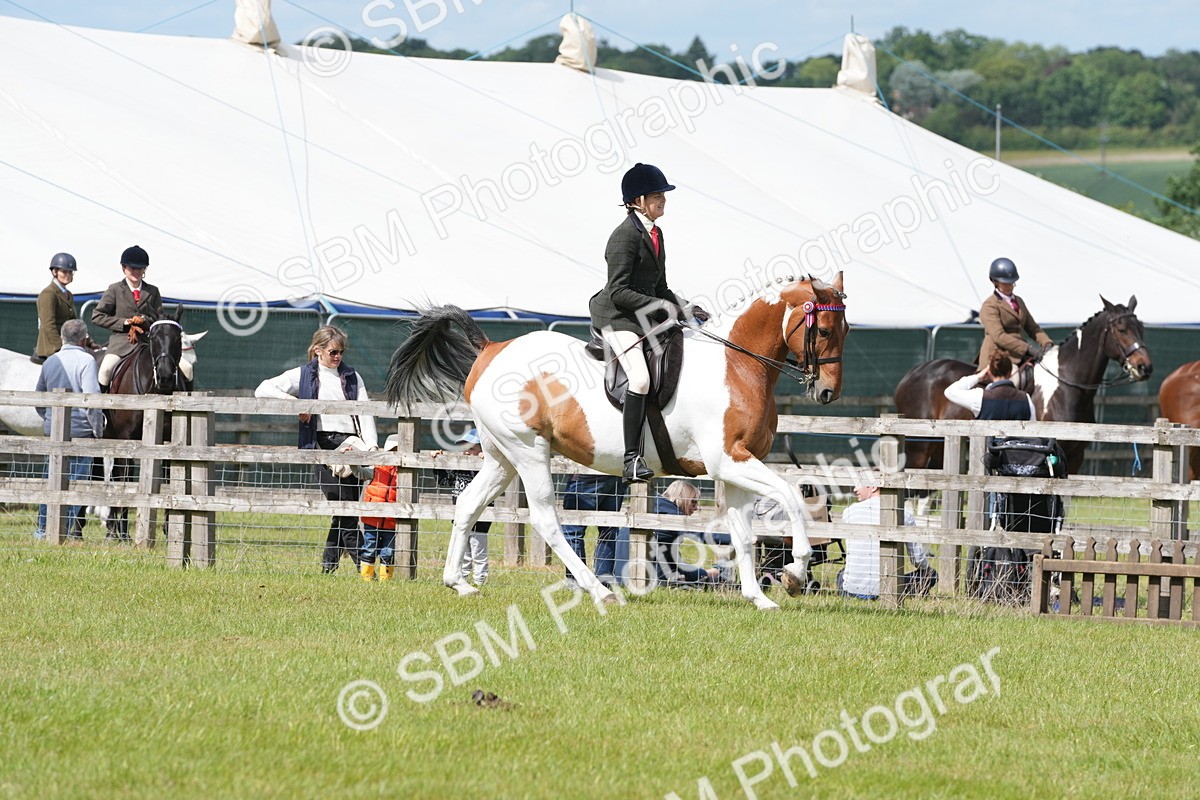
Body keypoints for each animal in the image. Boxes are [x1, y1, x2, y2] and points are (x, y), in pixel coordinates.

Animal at [385, 274, 849, 611]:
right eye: (825, 330)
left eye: (845, 329)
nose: (828, 392)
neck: (735, 363)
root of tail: (492, 348)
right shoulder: (729, 461)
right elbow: (792, 497)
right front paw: (794, 574)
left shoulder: (735, 467)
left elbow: (745, 534)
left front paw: (759, 598)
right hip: (529, 452)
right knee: (547, 520)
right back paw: (600, 591)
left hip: (502, 457)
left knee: (467, 504)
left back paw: (458, 583)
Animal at [894, 296, 1152, 477]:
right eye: (1121, 330)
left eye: (1141, 329)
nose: (1145, 367)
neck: (1067, 386)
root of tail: (911, 374)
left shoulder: (1076, 456)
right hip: (919, 447)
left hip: (942, 446)